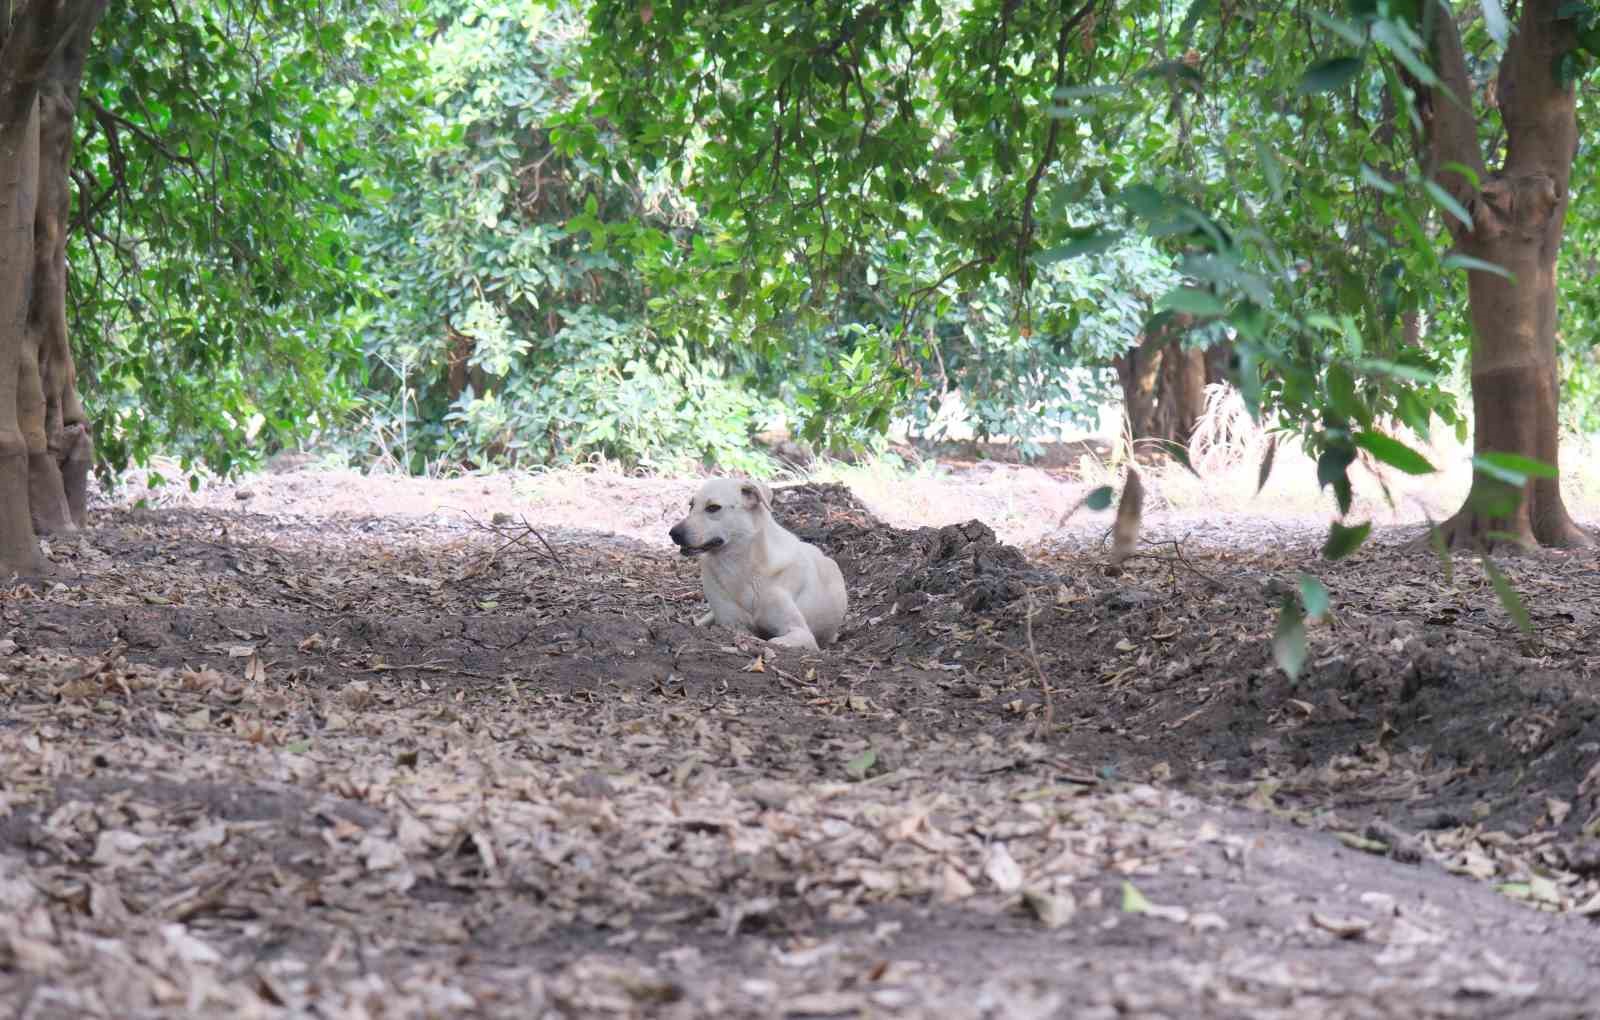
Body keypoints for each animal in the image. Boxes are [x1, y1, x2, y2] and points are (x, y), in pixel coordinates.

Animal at [668, 476, 851, 652]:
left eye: (713, 507)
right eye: (691, 506)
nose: (673, 533)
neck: (740, 567)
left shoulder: (801, 633)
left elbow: (772, 640)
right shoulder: (732, 624)